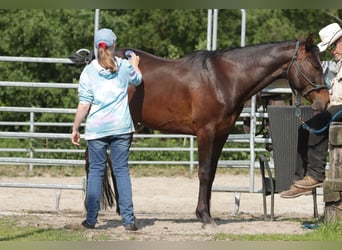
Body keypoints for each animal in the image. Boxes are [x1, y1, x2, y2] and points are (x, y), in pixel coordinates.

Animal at [73, 32, 332, 227]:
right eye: (314, 65)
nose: (325, 100)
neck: (224, 78)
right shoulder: (206, 132)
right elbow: (204, 173)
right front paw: (205, 217)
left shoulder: (221, 134)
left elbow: (212, 174)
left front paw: (204, 213)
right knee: (93, 162)